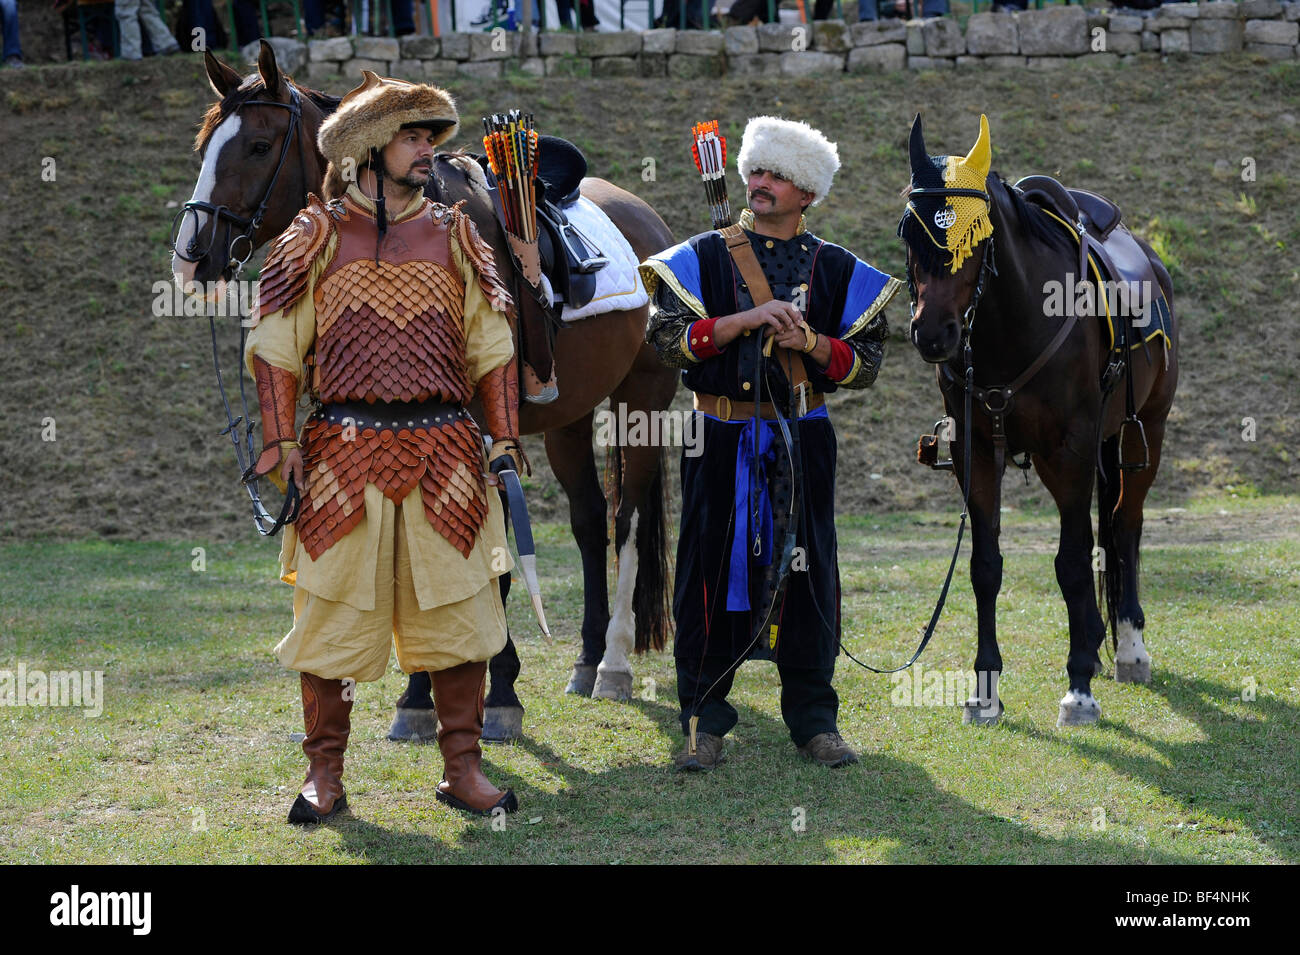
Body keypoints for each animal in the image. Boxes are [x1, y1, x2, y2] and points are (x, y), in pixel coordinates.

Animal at [170, 41, 681, 743]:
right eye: (203, 147)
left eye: (257, 144)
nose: (191, 258)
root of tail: (648, 220)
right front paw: (419, 696)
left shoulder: (484, 424)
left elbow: (486, 554)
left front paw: (498, 693)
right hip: (569, 419)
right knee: (586, 520)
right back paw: (585, 656)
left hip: (642, 403)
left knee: (625, 517)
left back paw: (615, 664)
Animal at [899, 115, 1185, 727]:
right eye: (909, 232)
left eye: (976, 235)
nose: (933, 334)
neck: (1015, 322)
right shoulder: (976, 455)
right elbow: (985, 565)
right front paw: (985, 688)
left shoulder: (1069, 453)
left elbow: (1074, 563)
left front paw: (1079, 687)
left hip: (1145, 431)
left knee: (1126, 526)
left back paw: (1128, 646)